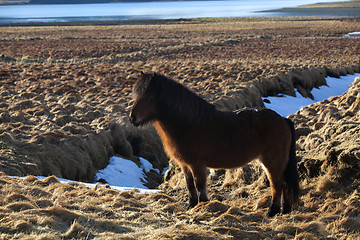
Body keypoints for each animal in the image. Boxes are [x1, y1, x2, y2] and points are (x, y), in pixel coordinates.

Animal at [131, 72, 300, 217]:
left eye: (150, 95)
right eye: (136, 95)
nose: (132, 118)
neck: (188, 124)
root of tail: (282, 119)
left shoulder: (197, 164)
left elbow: (199, 185)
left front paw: (203, 206)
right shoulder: (185, 165)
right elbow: (189, 185)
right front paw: (191, 206)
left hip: (272, 162)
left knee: (277, 185)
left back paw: (272, 212)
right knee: (284, 184)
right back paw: (284, 210)